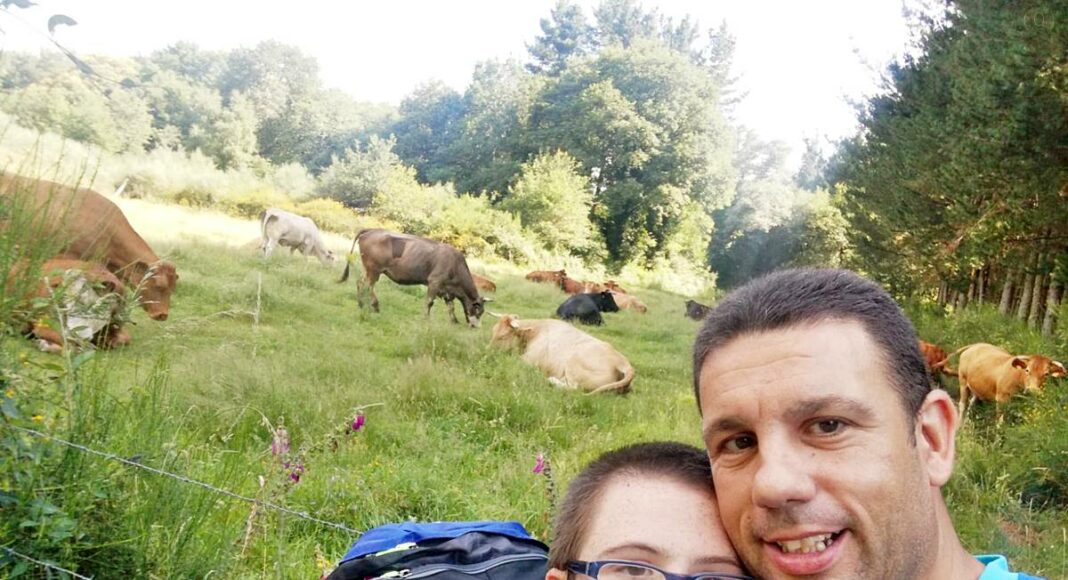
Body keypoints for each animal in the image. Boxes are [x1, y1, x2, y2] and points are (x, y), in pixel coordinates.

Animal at [339, 229, 487, 327]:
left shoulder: (447, 290)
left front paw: (454, 321)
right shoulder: (435, 281)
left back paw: (361, 304)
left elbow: (451, 307)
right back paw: (374, 306)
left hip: (368, 269)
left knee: (360, 283)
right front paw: (426, 319)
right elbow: (429, 302)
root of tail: (371, 230)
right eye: (478, 311)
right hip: (374, 270)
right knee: (367, 286)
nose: (475, 327)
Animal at [489, 314, 635, 394]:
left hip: (574, 363)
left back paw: (551, 380)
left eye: (503, 336)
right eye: (493, 331)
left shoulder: (529, 359)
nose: (488, 350)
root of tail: (622, 361)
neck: (536, 330)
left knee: (573, 388)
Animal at [938, 343, 1066, 423]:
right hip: (963, 382)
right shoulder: (1001, 399)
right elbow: (1000, 421)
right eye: (1027, 370)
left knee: (972, 402)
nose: (1032, 390)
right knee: (963, 405)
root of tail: (976, 345)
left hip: (977, 387)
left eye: (1046, 374)